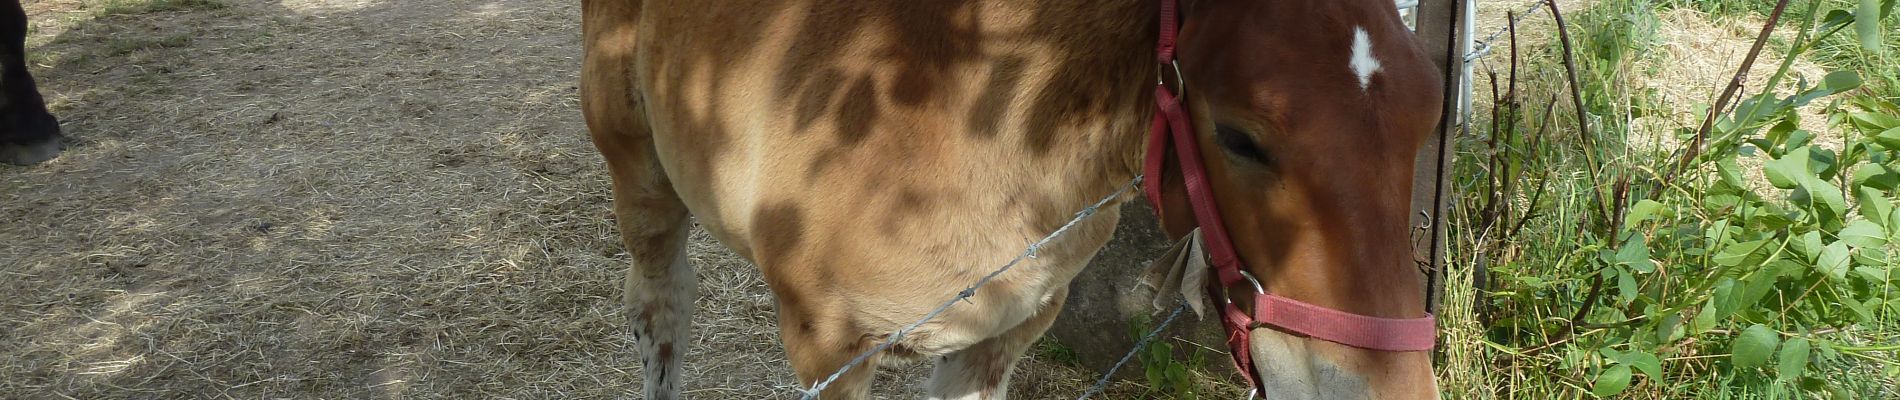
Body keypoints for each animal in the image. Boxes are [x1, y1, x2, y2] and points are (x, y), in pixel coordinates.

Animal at [577, 1, 1436, 398]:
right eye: (1240, 136)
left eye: (1428, 112)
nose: (1387, 389)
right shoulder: (827, 350)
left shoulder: (1003, 332)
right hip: (638, 167)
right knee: (661, 302)